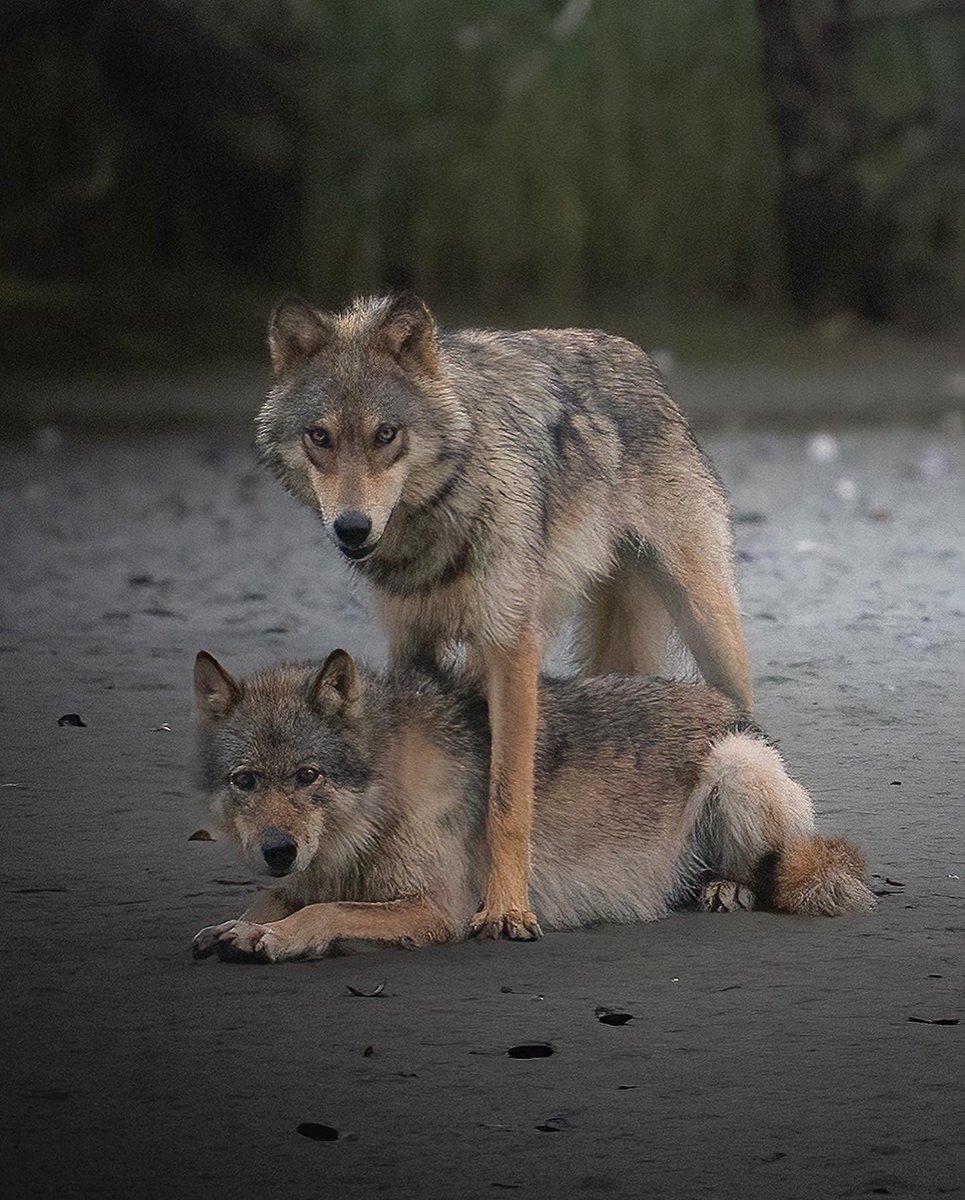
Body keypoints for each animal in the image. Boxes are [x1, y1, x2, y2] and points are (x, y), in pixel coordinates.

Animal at [190, 650, 873, 963]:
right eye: (246, 781)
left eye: (308, 776)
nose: (278, 850)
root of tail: (733, 707)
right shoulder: (311, 873)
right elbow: (278, 897)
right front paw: (240, 925)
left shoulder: (438, 911)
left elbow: (324, 911)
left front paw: (275, 937)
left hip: (737, 765)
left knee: (769, 869)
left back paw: (728, 887)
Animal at [255, 294, 751, 939]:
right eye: (320, 436)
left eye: (386, 435)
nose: (352, 529)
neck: (437, 523)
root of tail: (633, 352)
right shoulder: (412, 645)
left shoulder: (510, 648)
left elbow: (508, 801)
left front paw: (509, 910)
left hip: (708, 625)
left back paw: (735, 878)